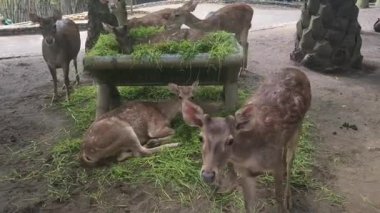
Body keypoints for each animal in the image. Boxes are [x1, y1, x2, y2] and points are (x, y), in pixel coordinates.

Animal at [181, 68, 312, 211]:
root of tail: (298, 71)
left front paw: (283, 206)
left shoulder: (275, 164)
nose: (208, 175)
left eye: (230, 140)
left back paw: (288, 200)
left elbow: (278, 198)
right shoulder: (245, 172)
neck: (249, 155)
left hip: (298, 129)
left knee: (289, 162)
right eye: (200, 138)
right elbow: (248, 205)